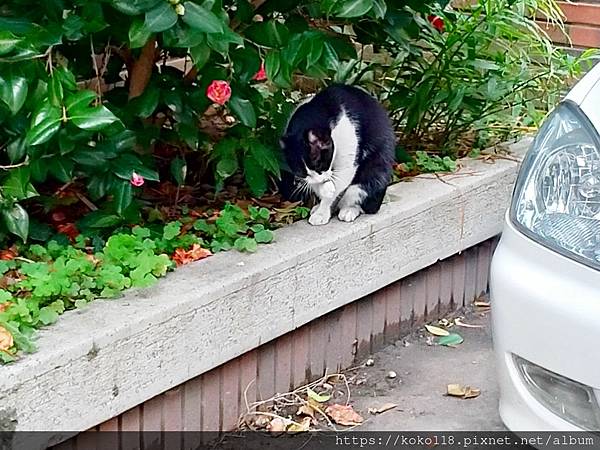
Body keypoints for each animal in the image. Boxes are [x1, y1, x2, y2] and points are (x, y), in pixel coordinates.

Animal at [280, 84, 396, 225]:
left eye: (319, 164)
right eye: (300, 172)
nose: (320, 179)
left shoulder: (348, 146)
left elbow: (338, 183)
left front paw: (322, 212)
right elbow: (320, 186)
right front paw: (324, 194)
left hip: (374, 175)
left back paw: (349, 210)